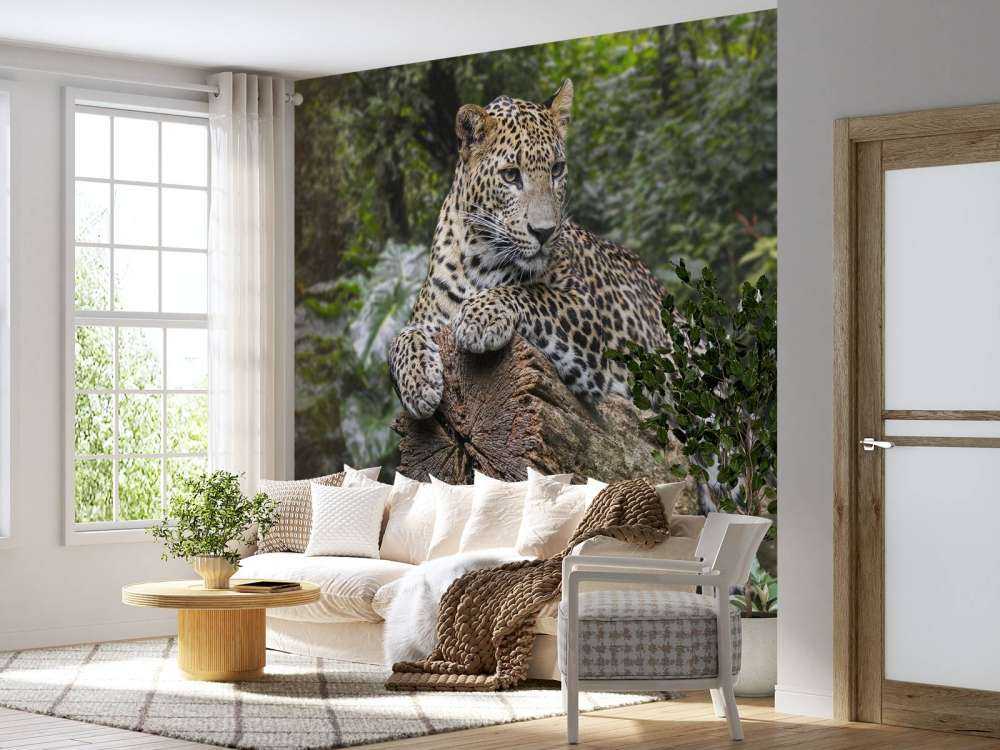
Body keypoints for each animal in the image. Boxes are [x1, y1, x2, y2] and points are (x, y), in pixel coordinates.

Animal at [388, 79, 668, 419]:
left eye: (557, 169)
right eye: (511, 175)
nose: (544, 232)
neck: (482, 257)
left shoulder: (584, 311)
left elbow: (530, 293)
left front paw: (479, 318)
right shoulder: (430, 316)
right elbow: (401, 337)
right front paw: (418, 382)